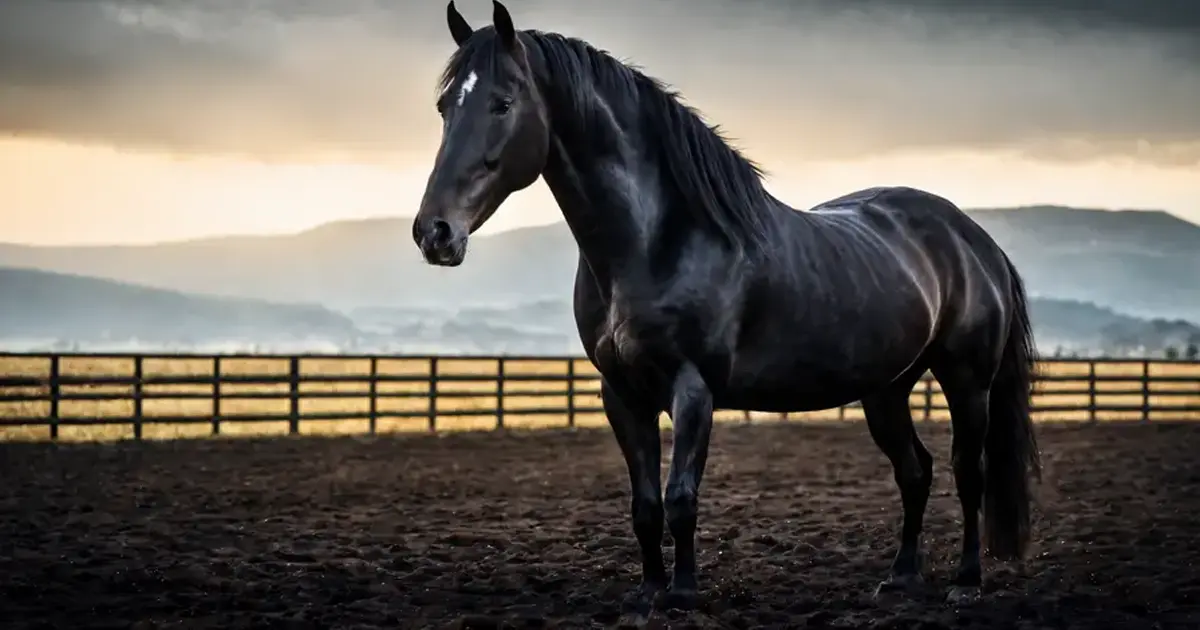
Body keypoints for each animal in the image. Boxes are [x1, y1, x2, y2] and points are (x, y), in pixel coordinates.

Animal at [412, 0, 1041, 617]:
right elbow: (645, 505)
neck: (658, 240)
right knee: (915, 471)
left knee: (968, 473)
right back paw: (901, 578)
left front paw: (683, 594)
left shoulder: (693, 390)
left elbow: (681, 497)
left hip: (967, 382)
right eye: (443, 106)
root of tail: (973, 238)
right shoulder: (623, 395)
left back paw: (966, 581)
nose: (434, 232)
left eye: (502, 103)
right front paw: (647, 593)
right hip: (885, 390)